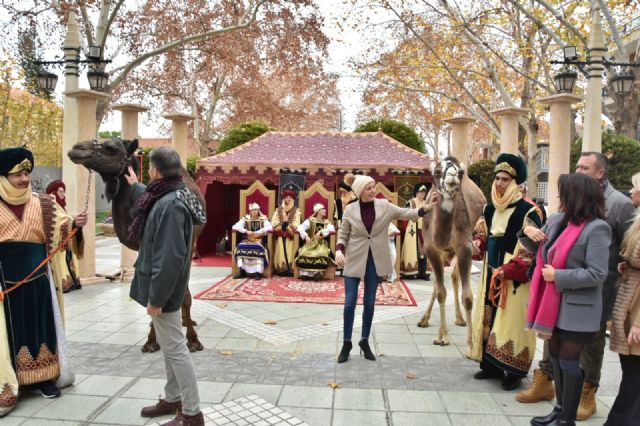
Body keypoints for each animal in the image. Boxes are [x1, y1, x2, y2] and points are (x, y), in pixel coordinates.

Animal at [68, 138, 204, 352]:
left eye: (110, 148)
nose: (77, 148)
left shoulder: (186, 248)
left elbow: (183, 294)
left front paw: (193, 340)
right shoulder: (143, 247)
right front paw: (151, 340)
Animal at [418, 156, 482, 346]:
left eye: (460, 172)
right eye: (437, 171)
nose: (452, 175)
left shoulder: (465, 247)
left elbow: (468, 297)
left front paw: (470, 341)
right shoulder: (431, 248)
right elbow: (440, 292)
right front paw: (443, 337)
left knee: (453, 277)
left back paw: (460, 319)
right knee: (438, 284)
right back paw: (425, 320)